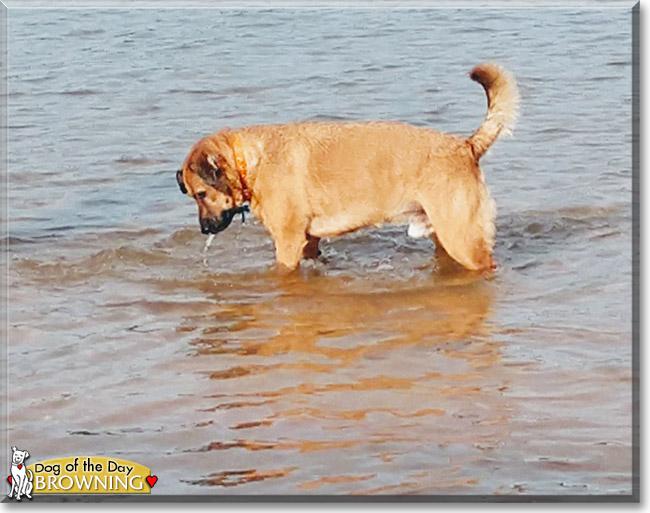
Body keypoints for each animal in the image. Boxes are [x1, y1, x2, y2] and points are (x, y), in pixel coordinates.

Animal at [176, 63, 516, 272]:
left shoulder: (288, 242)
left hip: (463, 240)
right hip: (444, 237)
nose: (204, 229)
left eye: (201, 194)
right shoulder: (308, 241)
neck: (250, 161)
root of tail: (466, 146)